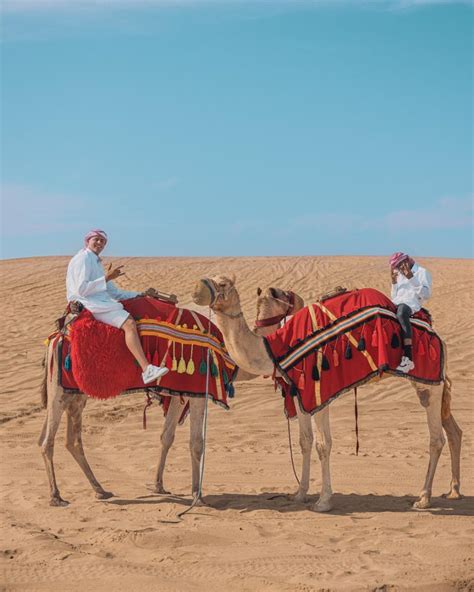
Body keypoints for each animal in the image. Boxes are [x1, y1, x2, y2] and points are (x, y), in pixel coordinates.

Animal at [192, 276, 462, 512]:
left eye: (223, 283)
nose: (197, 290)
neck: (274, 347)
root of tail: (439, 338)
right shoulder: (300, 395)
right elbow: (304, 441)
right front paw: (299, 493)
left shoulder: (320, 392)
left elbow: (323, 445)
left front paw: (323, 501)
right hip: (428, 386)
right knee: (452, 430)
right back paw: (453, 491)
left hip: (430, 381)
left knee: (436, 438)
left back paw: (424, 498)